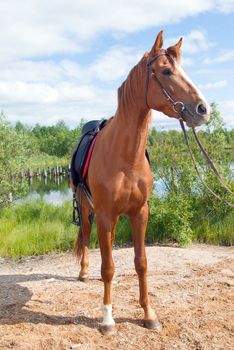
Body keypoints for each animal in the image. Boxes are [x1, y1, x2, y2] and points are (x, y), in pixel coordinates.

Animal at [71, 31, 210, 334]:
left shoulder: (140, 213)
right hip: (87, 209)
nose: (203, 110)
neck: (125, 157)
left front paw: (148, 314)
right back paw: (84, 272)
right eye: (166, 71)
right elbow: (108, 267)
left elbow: (141, 263)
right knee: (86, 236)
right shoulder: (105, 214)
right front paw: (107, 319)